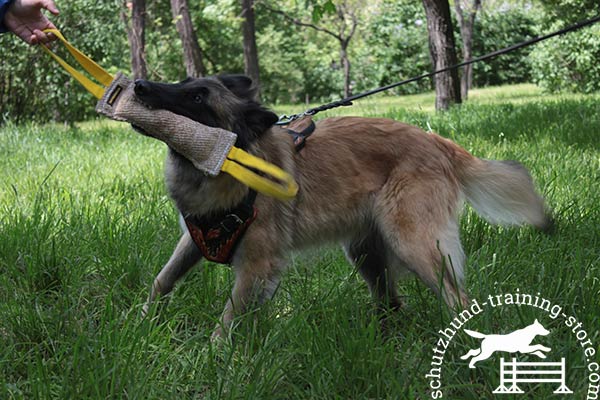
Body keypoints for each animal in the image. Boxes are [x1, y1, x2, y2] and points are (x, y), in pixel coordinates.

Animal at [132, 73, 552, 340]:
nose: (139, 85)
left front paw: (211, 359)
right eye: (184, 81)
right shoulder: (195, 238)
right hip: (367, 254)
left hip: (412, 243)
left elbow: (228, 318)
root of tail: (438, 141)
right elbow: (162, 280)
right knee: (392, 303)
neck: (226, 161)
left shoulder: (258, 265)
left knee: (455, 297)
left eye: (197, 98)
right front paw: (140, 322)